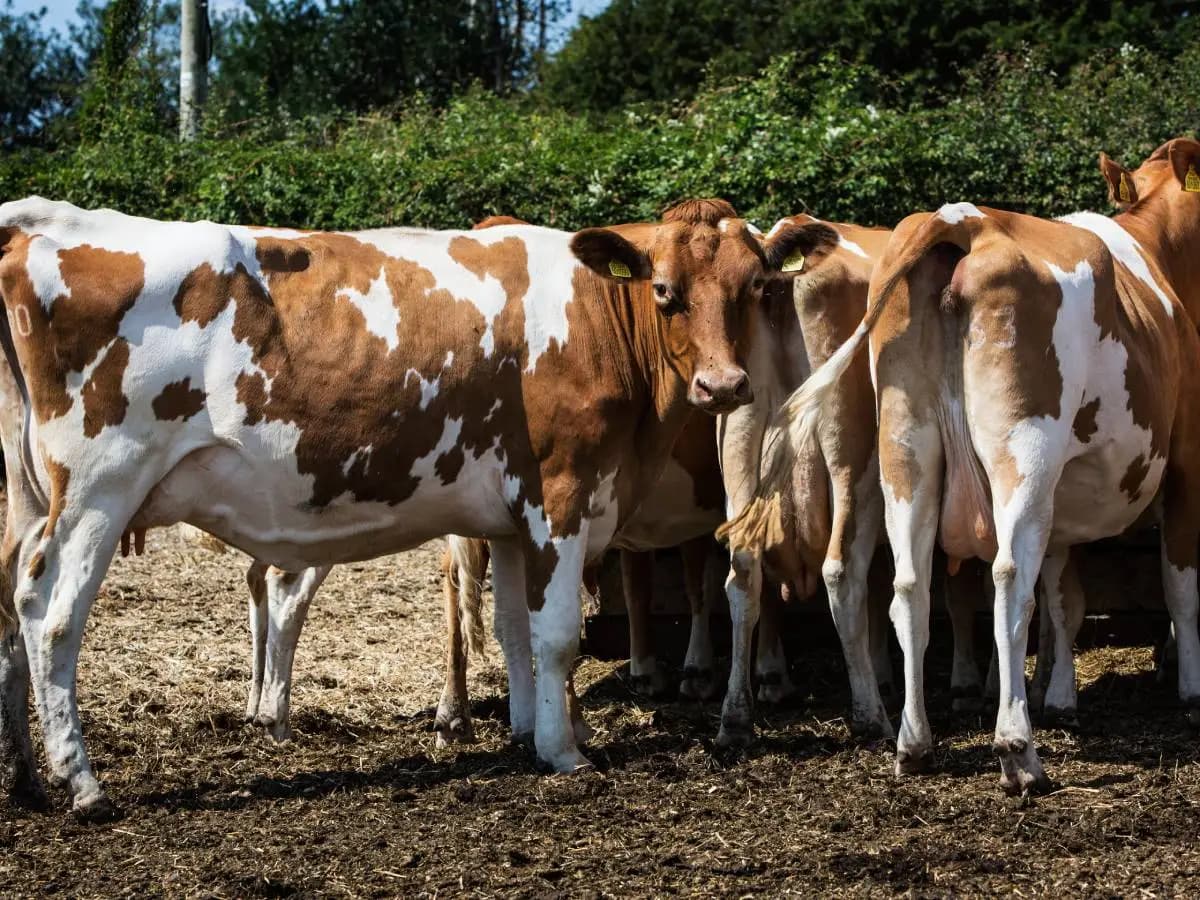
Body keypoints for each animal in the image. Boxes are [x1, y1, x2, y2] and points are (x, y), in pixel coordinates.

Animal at [0, 196, 825, 816]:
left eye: (755, 287)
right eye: (664, 292)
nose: (724, 386)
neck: (597, 323)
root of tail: (47, 222)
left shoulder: (511, 516)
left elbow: (513, 630)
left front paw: (526, 733)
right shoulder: (563, 494)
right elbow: (556, 634)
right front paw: (565, 752)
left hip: (33, 500)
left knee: (12, 605)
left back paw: (25, 780)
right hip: (101, 489)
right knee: (52, 613)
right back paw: (82, 783)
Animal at [724, 137, 1200, 792]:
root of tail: (960, 220)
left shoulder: (1064, 504)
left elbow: (1064, 597)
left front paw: (1060, 694)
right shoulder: (1185, 463)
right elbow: (1176, 587)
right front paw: (1188, 692)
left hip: (900, 450)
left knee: (904, 584)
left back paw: (910, 742)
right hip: (1022, 450)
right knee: (1007, 580)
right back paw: (1015, 750)